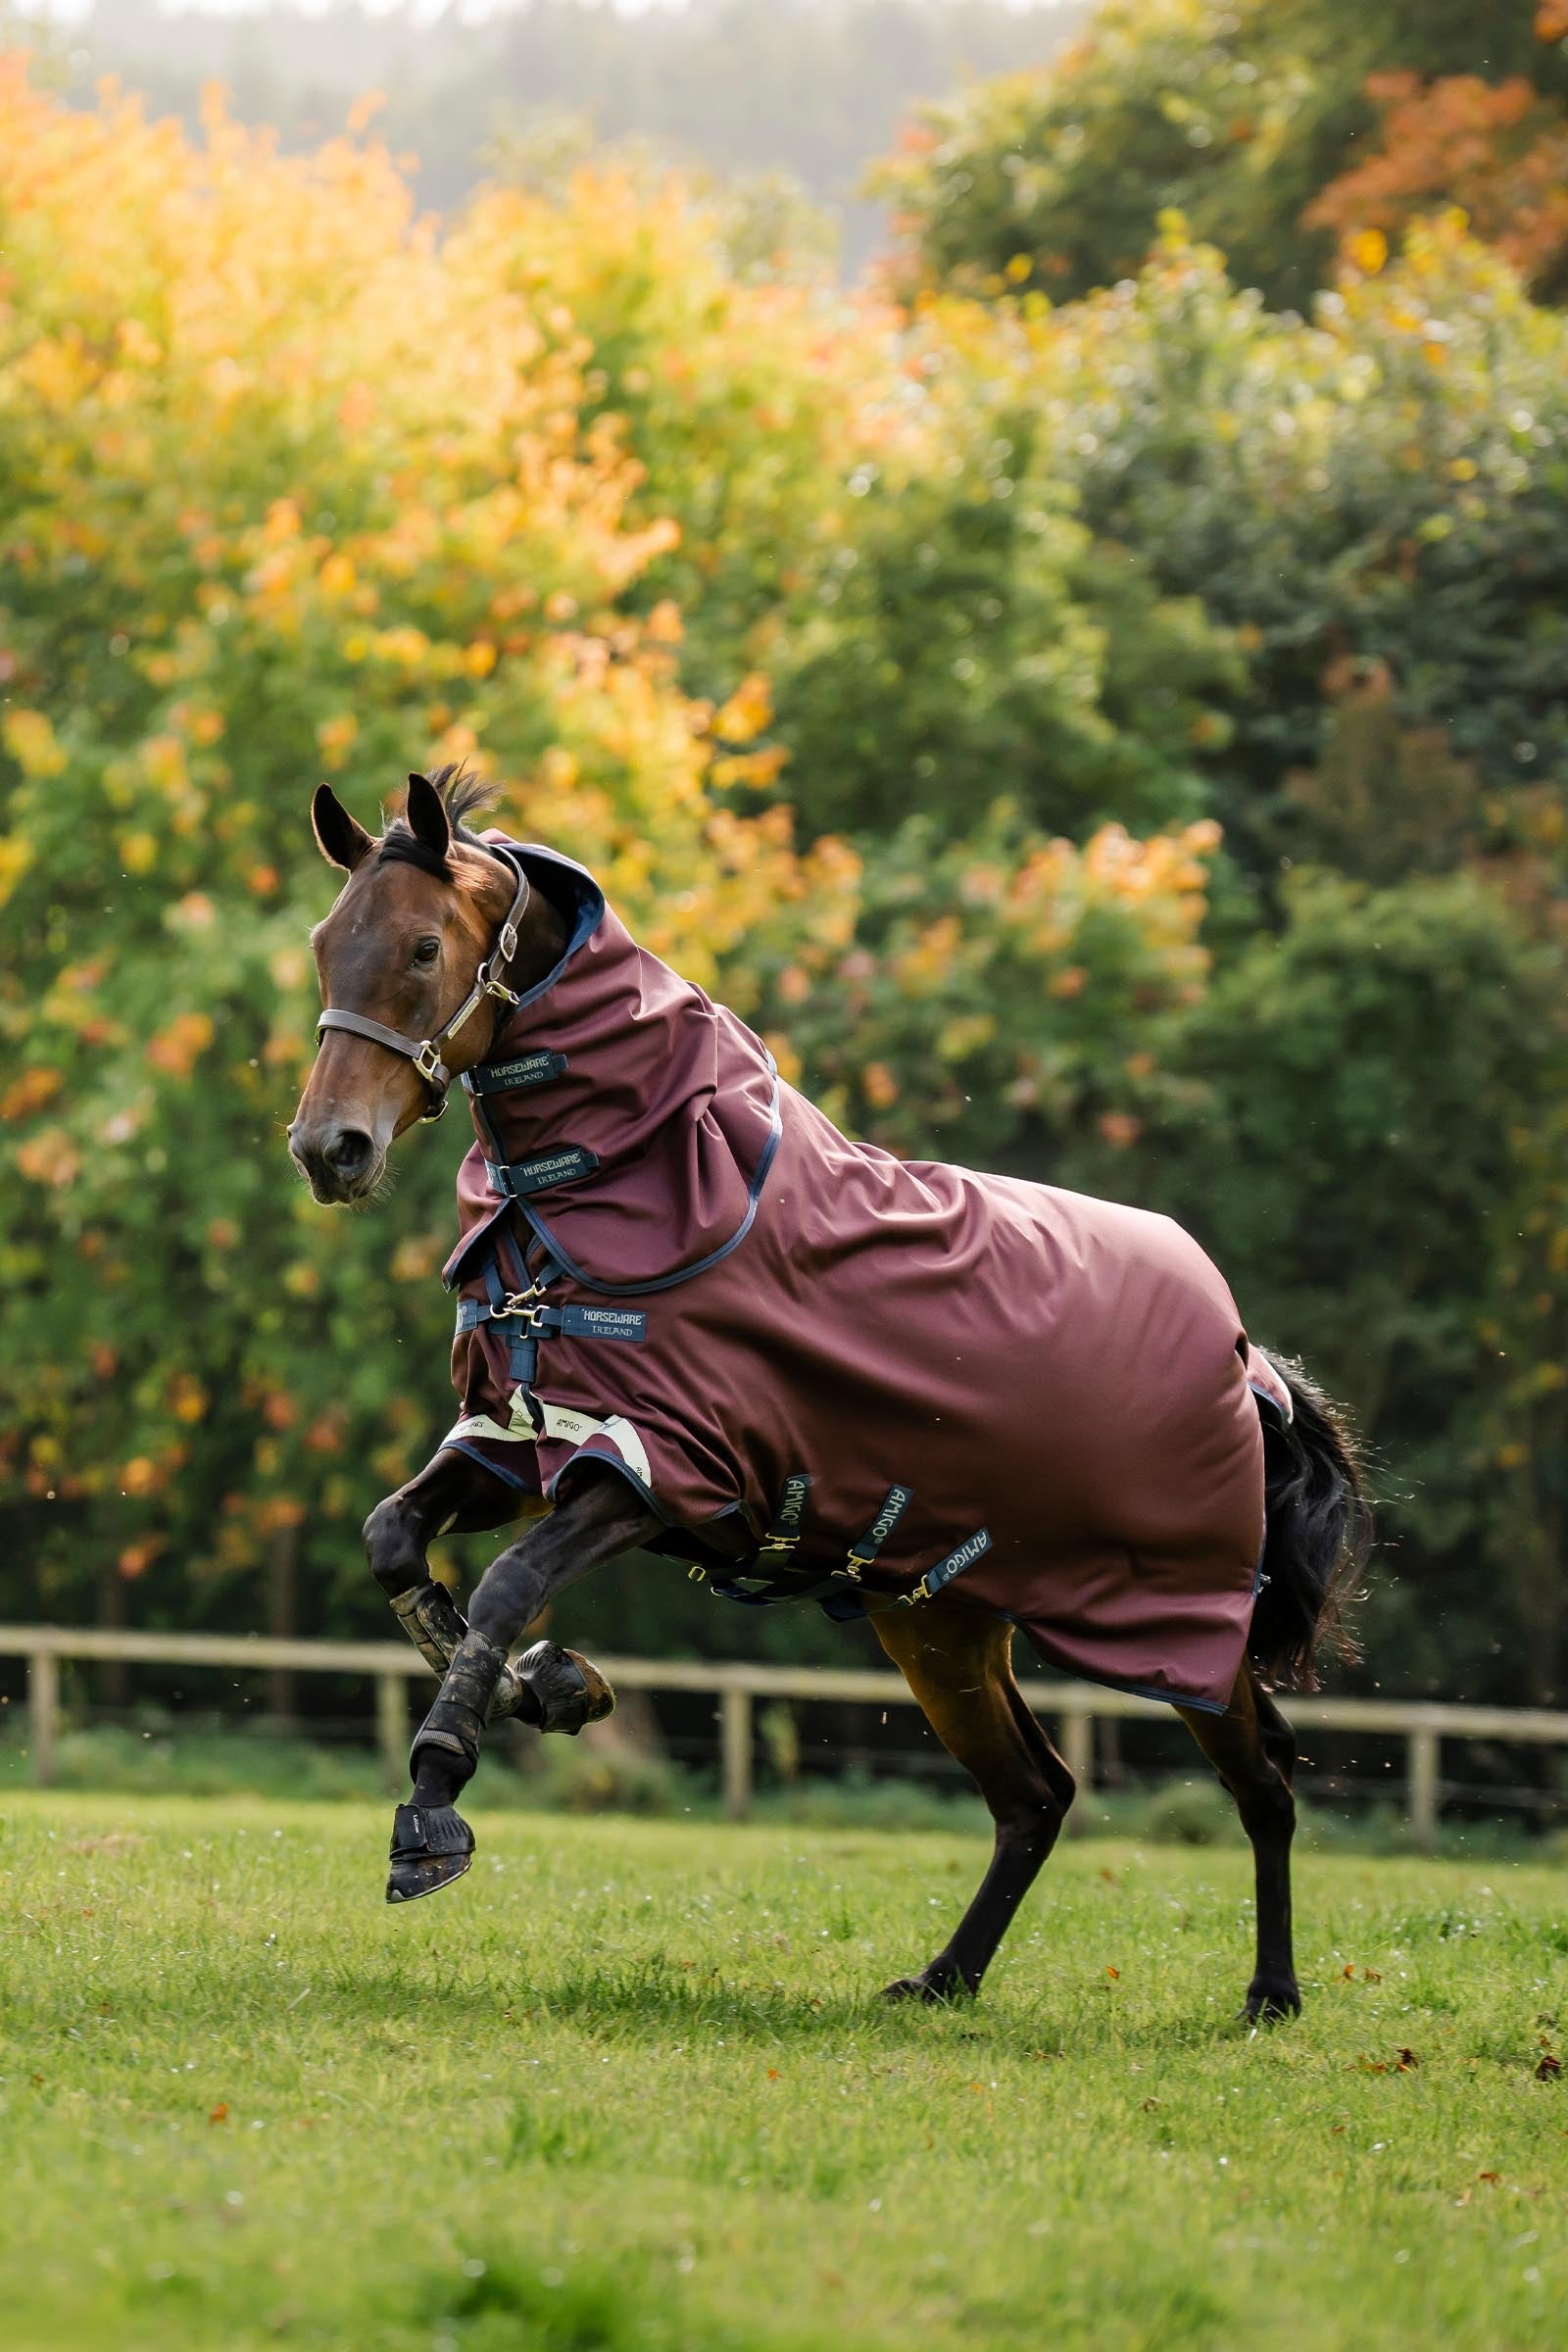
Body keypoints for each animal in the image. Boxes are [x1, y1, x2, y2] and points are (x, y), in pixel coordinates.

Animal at [288, 765, 1369, 2021]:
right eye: (325, 944)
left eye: (422, 948)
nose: (329, 1148)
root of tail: (1248, 1365)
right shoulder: (525, 1442)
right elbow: (394, 1542)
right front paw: (558, 1687)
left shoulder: (663, 1474)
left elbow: (507, 1585)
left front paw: (434, 1804)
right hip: (939, 1621)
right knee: (1035, 1794)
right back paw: (946, 1979)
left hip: (1182, 1632)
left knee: (1264, 1780)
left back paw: (1271, 1996)